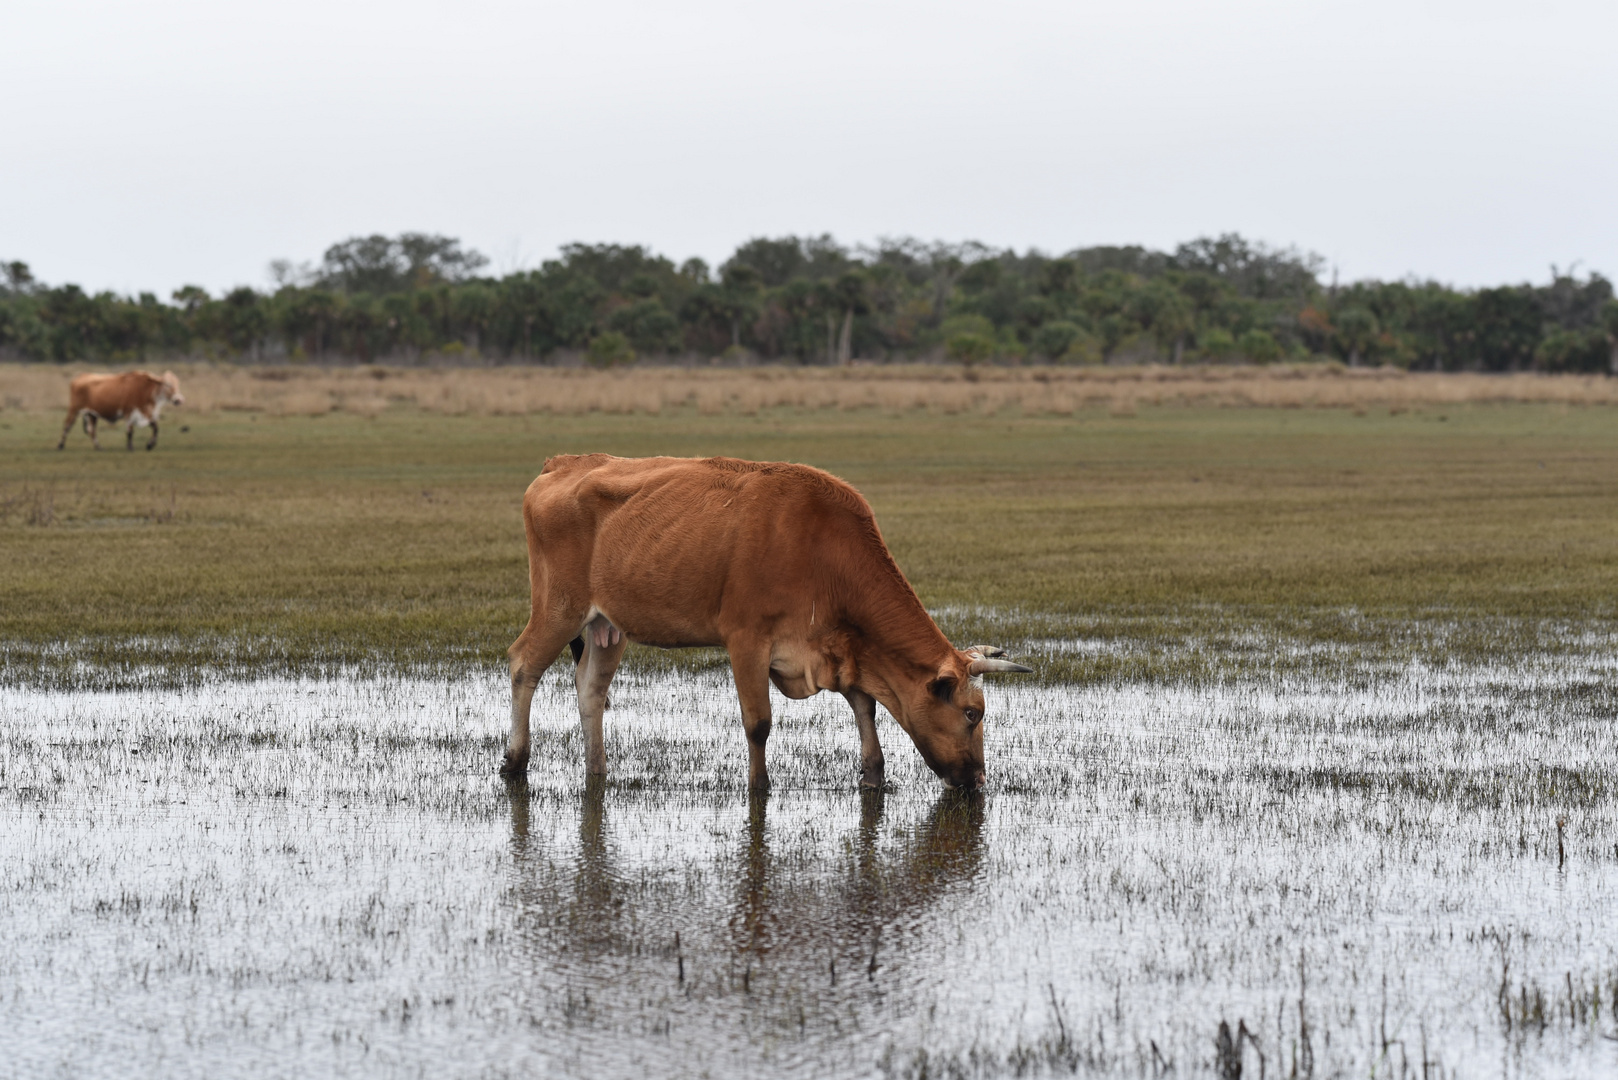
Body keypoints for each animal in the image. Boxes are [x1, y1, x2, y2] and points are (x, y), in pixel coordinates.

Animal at [504, 453, 1029, 790]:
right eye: (972, 713)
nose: (978, 779)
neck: (822, 551)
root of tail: (564, 461)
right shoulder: (747, 640)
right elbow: (759, 723)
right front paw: (760, 785)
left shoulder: (843, 647)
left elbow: (866, 708)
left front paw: (874, 775)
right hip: (558, 606)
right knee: (522, 665)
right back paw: (515, 761)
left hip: (607, 626)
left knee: (590, 689)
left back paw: (596, 771)